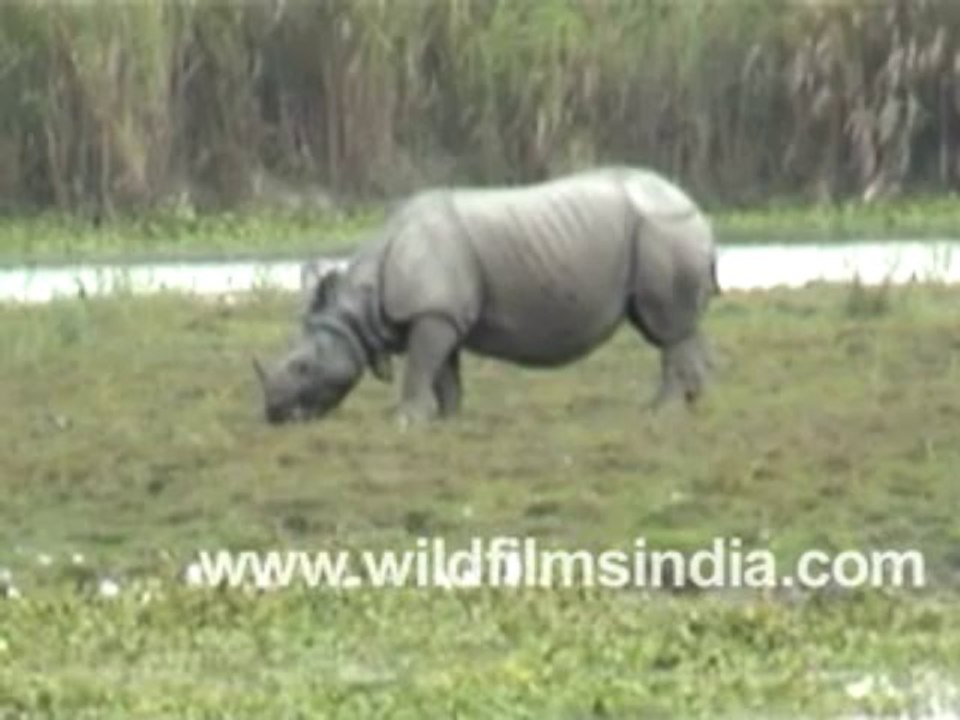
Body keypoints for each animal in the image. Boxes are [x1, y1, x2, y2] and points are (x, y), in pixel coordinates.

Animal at [254, 167, 721, 427]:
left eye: (302, 366)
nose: (274, 413)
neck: (361, 306)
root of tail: (697, 209)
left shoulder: (432, 312)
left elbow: (420, 367)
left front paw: (405, 420)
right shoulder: (442, 314)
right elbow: (443, 372)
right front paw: (447, 420)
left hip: (663, 229)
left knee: (666, 329)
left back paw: (660, 412)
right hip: (660, 232)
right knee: (674, 325)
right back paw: (691, 404)